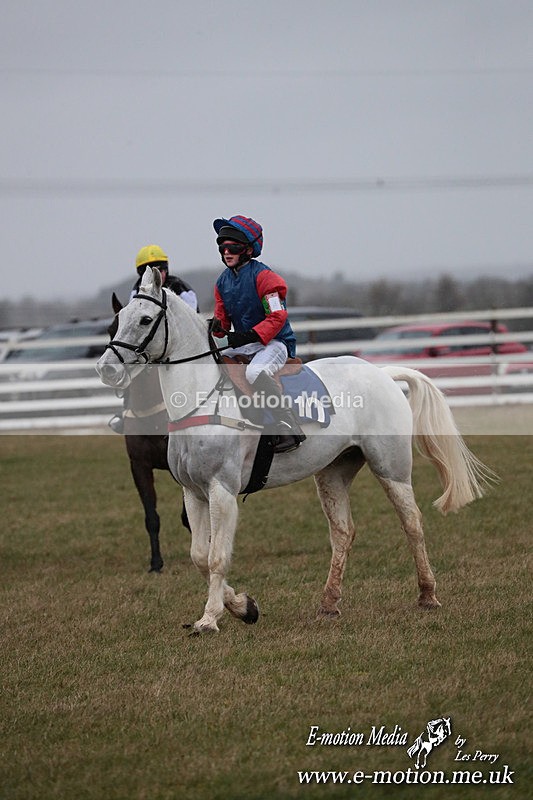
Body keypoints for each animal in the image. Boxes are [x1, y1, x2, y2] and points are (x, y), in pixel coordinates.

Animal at [109, 293, 189, 573]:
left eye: (143, 324)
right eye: (112, 328)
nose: (111, 370)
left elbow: (188, 514)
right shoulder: (139, 465)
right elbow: (151, 517)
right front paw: (156, 563)